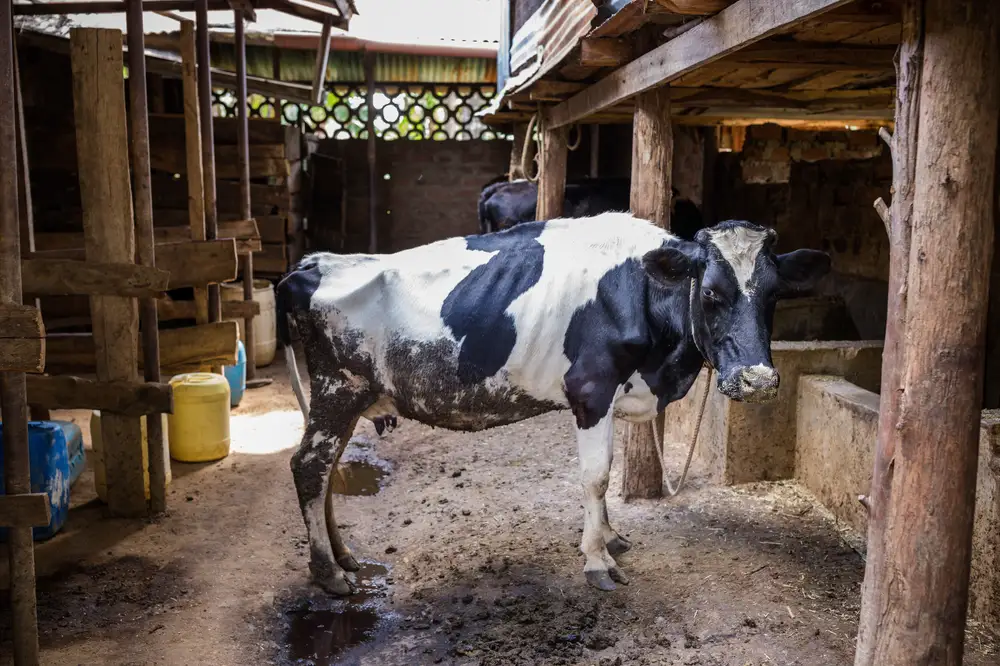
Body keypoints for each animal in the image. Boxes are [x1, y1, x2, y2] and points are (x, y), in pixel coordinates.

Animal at [278, 214, 832, 596]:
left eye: (775, 295)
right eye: (713, 293)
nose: (757, 380)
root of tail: (311, 265)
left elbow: (604, 472)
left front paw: (609, 536)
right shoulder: (591, 390)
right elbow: (596, 476)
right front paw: (597, 562)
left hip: (347, 397)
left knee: (326, 470)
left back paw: (344, 557)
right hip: (338, 389)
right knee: (309, 466)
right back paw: (329, 572)